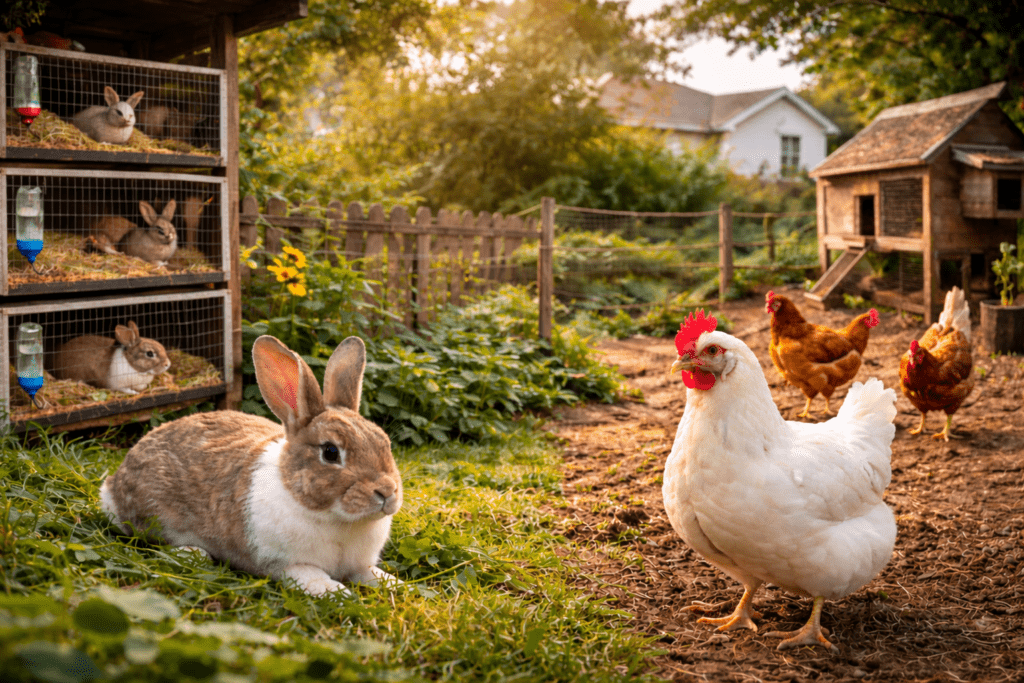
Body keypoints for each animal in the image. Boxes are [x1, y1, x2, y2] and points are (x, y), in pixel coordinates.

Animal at [99, 335, 403, 597]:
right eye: (330, 452)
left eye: (384, 442)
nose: (387, 492)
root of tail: (112, 486)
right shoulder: (285, 564)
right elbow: (312, 576)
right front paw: (337, 592)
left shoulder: (359, 566)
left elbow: (372, 575)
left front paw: (400, 585)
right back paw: (193, 552)